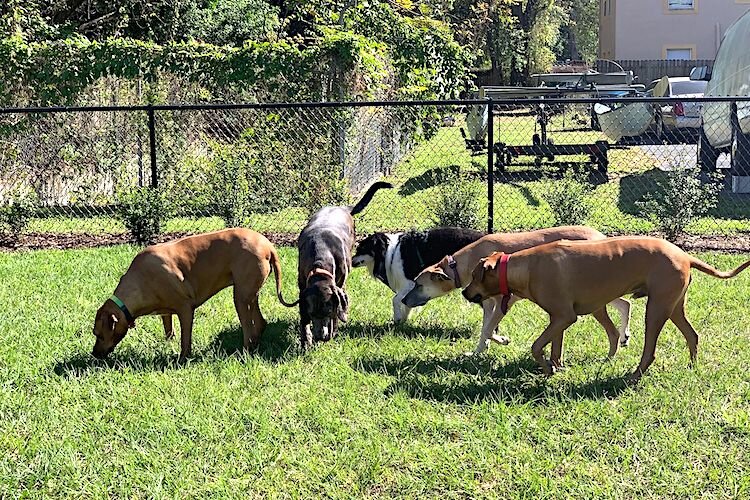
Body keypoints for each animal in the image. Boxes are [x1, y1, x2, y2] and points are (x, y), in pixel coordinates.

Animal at [92, 229, 296, 362]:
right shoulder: (165, 311)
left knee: (247, 326)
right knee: (259, 322)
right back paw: (255, 345)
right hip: (249, 293)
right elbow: (168, 329)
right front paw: (168, 343)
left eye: (98, 335)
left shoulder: (185, 309)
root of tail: (268, 245)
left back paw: (244, 351)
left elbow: (185, 339)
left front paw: (183, 358)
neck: (139, 280)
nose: (94, 353)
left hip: (240, 296)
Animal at [354, 228, 484, 322]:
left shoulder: (409, 283)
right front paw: (403, 321)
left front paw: (397, 319)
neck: (391, 253)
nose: (351, 260)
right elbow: (406, 303)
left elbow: (395, 300)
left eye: (360, 249)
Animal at [402, 227, 632, 356]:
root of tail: (599, 235)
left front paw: (501, 340)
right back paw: (624, 336)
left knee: (623, 303)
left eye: (418, 284)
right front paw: (477, 352)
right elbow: (485, 330)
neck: (459, 265)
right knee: (625, 303)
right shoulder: (488, 304)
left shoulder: (506, 300)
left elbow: (488, 329)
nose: (403, 300)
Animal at [462, 236, 750, 380]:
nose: (464, 292)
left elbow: (536, 347)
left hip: (656, 310)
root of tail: (685, 255)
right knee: (692, 335)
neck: (524, 268)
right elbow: (555, 348)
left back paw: (634, 375)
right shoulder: (558, 318)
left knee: (649, 351)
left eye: (475, 276)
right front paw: (555, 367)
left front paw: (546, 369)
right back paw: (691, 367)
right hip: (673, 306)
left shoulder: (565, 316)